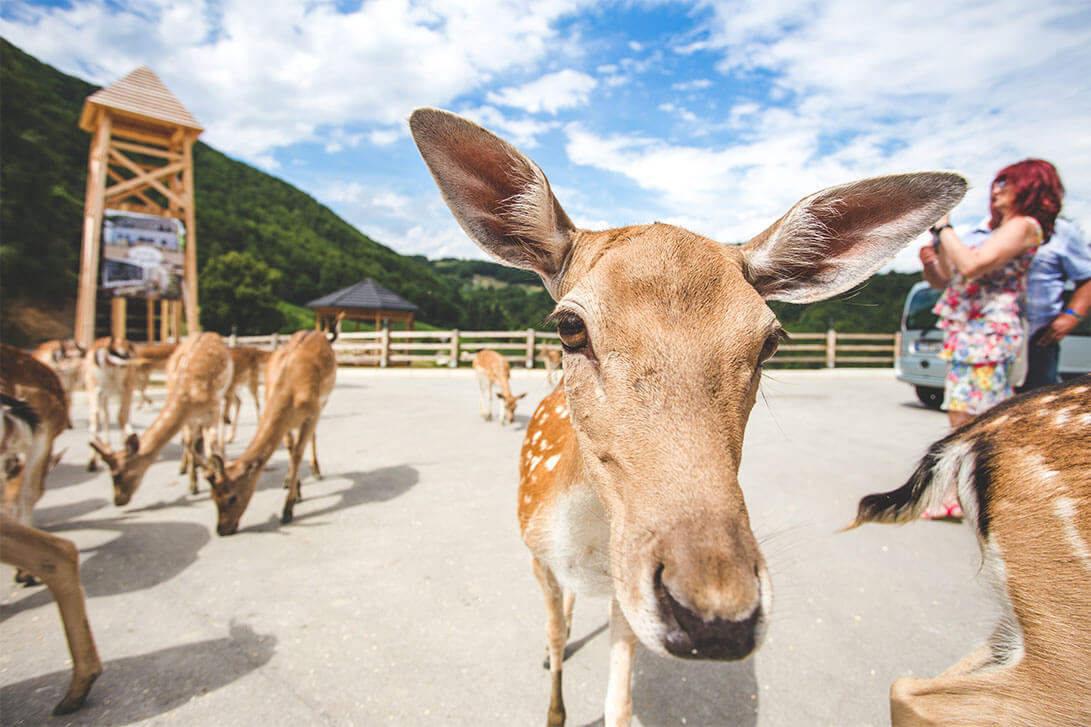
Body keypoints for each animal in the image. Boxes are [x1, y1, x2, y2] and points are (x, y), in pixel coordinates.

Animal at [90, 331, 233, 502]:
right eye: (111, 473)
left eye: (118, 474)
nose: (118, 501)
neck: (189, 398)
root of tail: (208, 333)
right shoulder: (189, 418)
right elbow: (189, 443)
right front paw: (193, 485)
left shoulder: (214, 407)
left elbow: (210, 445)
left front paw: (215, 474)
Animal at [201, 327, 333, 532]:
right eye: (213, 496)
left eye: (232, 498)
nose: (221, 530)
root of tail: (315, 331)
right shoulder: (286, 422)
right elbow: (290, 449)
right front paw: (296, 489)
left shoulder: (312, 414)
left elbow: (298, 453)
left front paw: (287, 510)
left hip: (323, 401)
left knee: (313, 437)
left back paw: (316, 471)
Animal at [410, 107, 973, 724]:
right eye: (568, 325)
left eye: (770, 341)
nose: (715, 617)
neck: (588, 545)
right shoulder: (537, 556)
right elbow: (557, 649)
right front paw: (551, 682)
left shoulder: (624, 596)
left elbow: (619, 703)